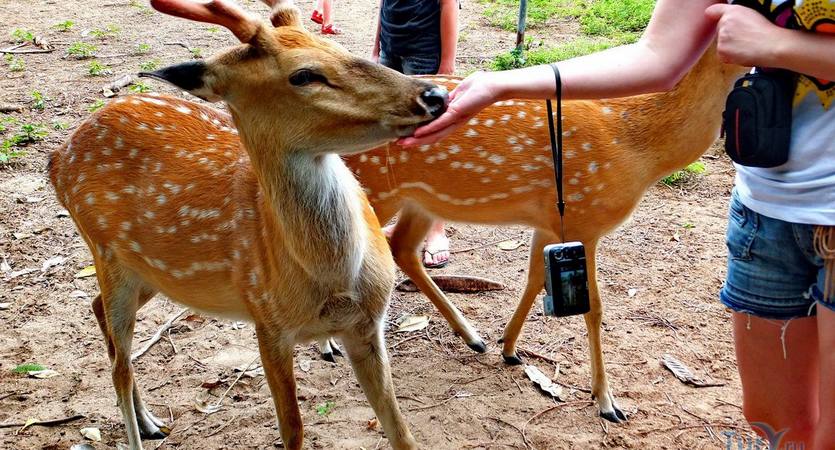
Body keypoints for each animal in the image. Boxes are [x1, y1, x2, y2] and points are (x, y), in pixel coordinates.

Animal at [48, 0, 448, 450]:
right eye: (303, 74)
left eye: (336, 45)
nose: (434, 94)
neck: (334, 281)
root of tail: (56, 159)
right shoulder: (267, 323)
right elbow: (293, 429)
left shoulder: (367, 325)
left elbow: (401, 430)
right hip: (105, 251)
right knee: (119, 366)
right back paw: (142, 427)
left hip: (148, 273)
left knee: (101, 317)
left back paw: (151, 421)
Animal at [338, 45, 744, 422]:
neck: (636, 149)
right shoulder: (584, 217)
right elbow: (594, 307)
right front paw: (607, 401)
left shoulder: (549, 222)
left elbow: (535, 278)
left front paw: (508, 347)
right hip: (374, 188)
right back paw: (334, 347)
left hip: (418, 200)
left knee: (402, 247)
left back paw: (473, 337)